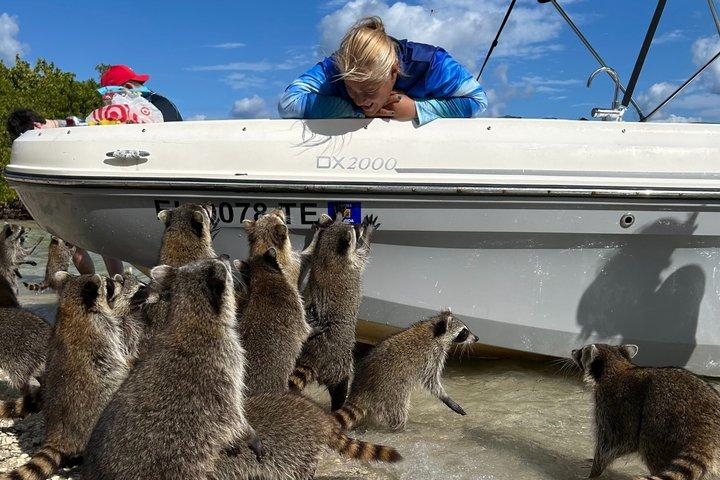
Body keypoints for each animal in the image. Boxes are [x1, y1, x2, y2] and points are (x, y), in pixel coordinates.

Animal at [0, 272, 129, 480]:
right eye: (109, 284)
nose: (120, 280)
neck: (72, 305)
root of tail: (59, 434)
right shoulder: (105, 329)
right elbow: (120, 357)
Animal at [83, 257, 260, 480]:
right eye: (220, 263)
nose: (226, 256)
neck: (191, 315)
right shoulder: (226, 364)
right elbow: (232, 414)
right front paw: (248, 434)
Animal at [289, 213, 379, 410]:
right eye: (355, 230)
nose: (359, 226)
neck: (327, 254)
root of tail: (312, 356)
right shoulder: (353, 263)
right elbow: (365, 253)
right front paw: (368, 234)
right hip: (339, 361)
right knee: (341, 382)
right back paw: (339, 402)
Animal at [334, 309, 478, 432]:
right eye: (464, 332)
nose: (476, 338)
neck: (432, 328)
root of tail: (361, 390)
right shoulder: (432, 357)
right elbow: (432, 382)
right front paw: (446, 398)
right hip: (392, 392)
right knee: (399, 410)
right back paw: (400, 428)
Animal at [572, 343, 720, 480]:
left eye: (581, 351)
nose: (573, 350)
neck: (617, 365)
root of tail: (707, 434)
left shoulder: (614, 405)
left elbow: (612, 444)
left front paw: (594, 471)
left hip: (662, 423)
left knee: (649, 444)